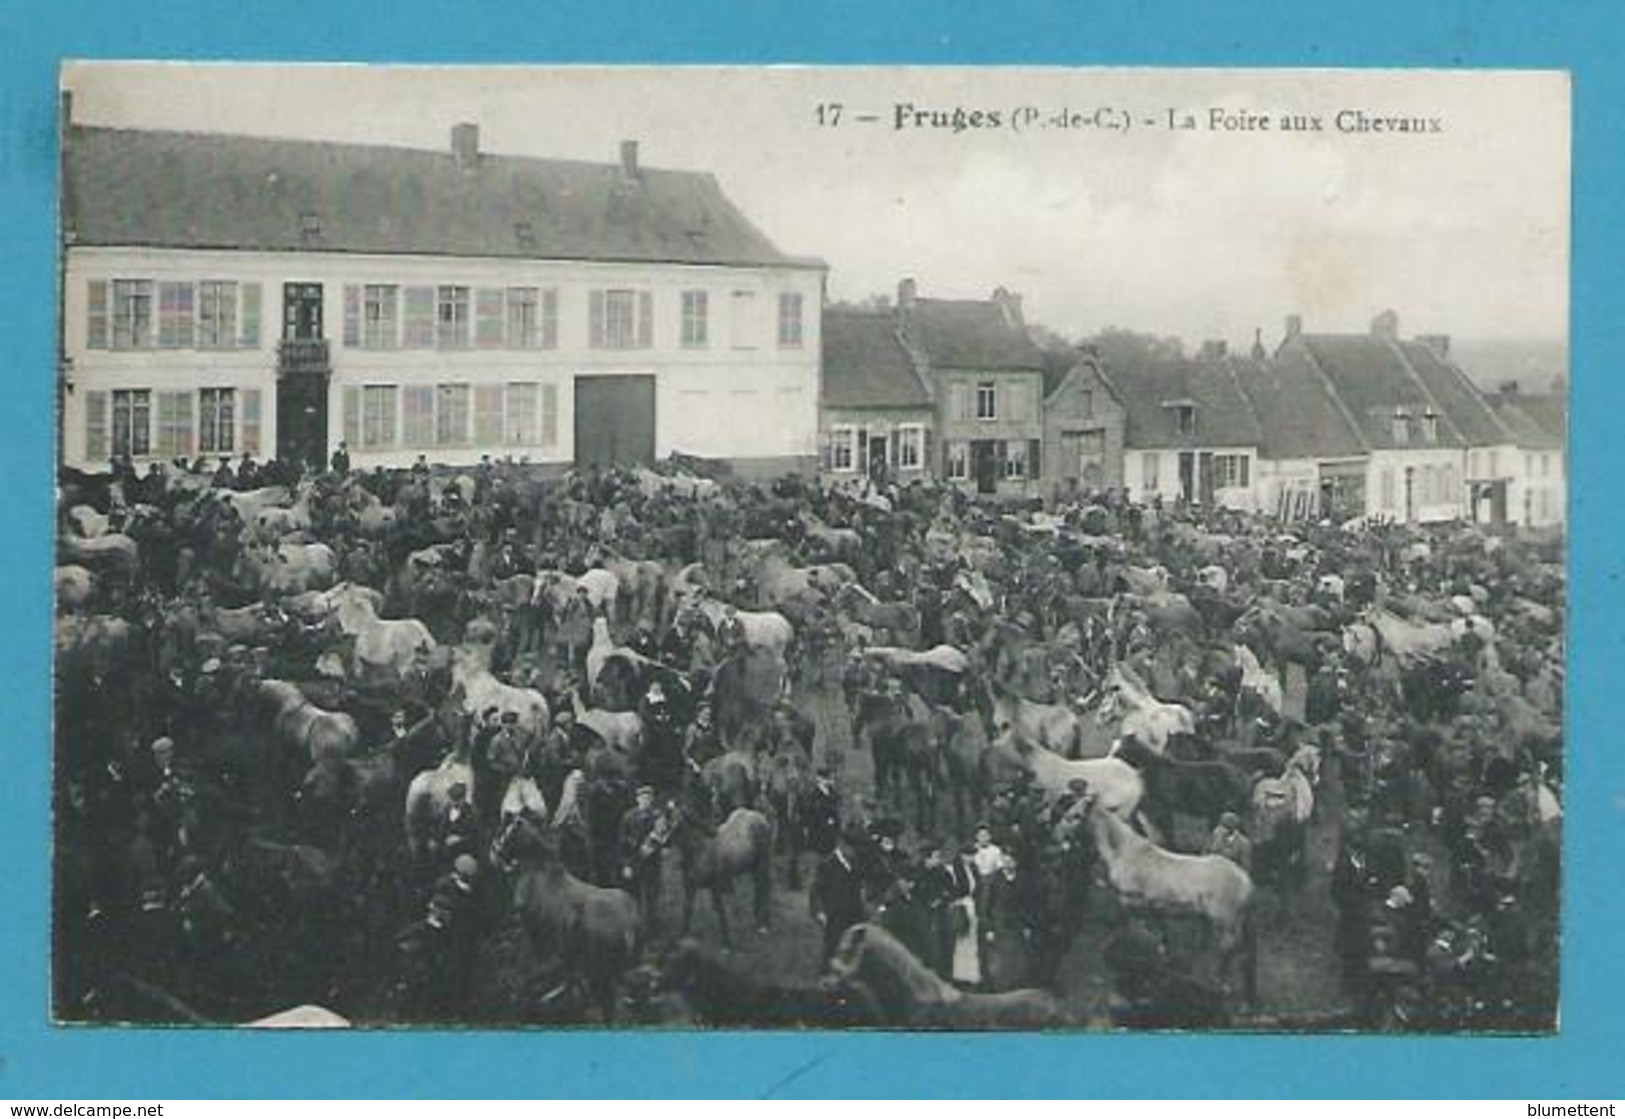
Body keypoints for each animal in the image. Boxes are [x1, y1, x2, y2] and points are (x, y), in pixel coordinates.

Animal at [487, 812, 640, 1019]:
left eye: (507, 832)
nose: (498, 854)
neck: (536, 869)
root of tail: (628, 927)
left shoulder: (531, 926)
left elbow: (532, 960)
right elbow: (568, 974)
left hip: (600, 971)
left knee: (609, 1005)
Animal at [646, 799, 773, 948]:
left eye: (666, 825)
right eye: (656, 824)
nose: (649, 845)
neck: (701, 851)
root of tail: (759, 816)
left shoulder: (717, 887)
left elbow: (722, 913)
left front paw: (727, 943)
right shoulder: (690, 888)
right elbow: (687, 911)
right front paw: (682, 937)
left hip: (763, 864)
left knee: (765, 888)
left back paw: (764, 925)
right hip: (751, 868)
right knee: (758, 890)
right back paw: (757, 921)